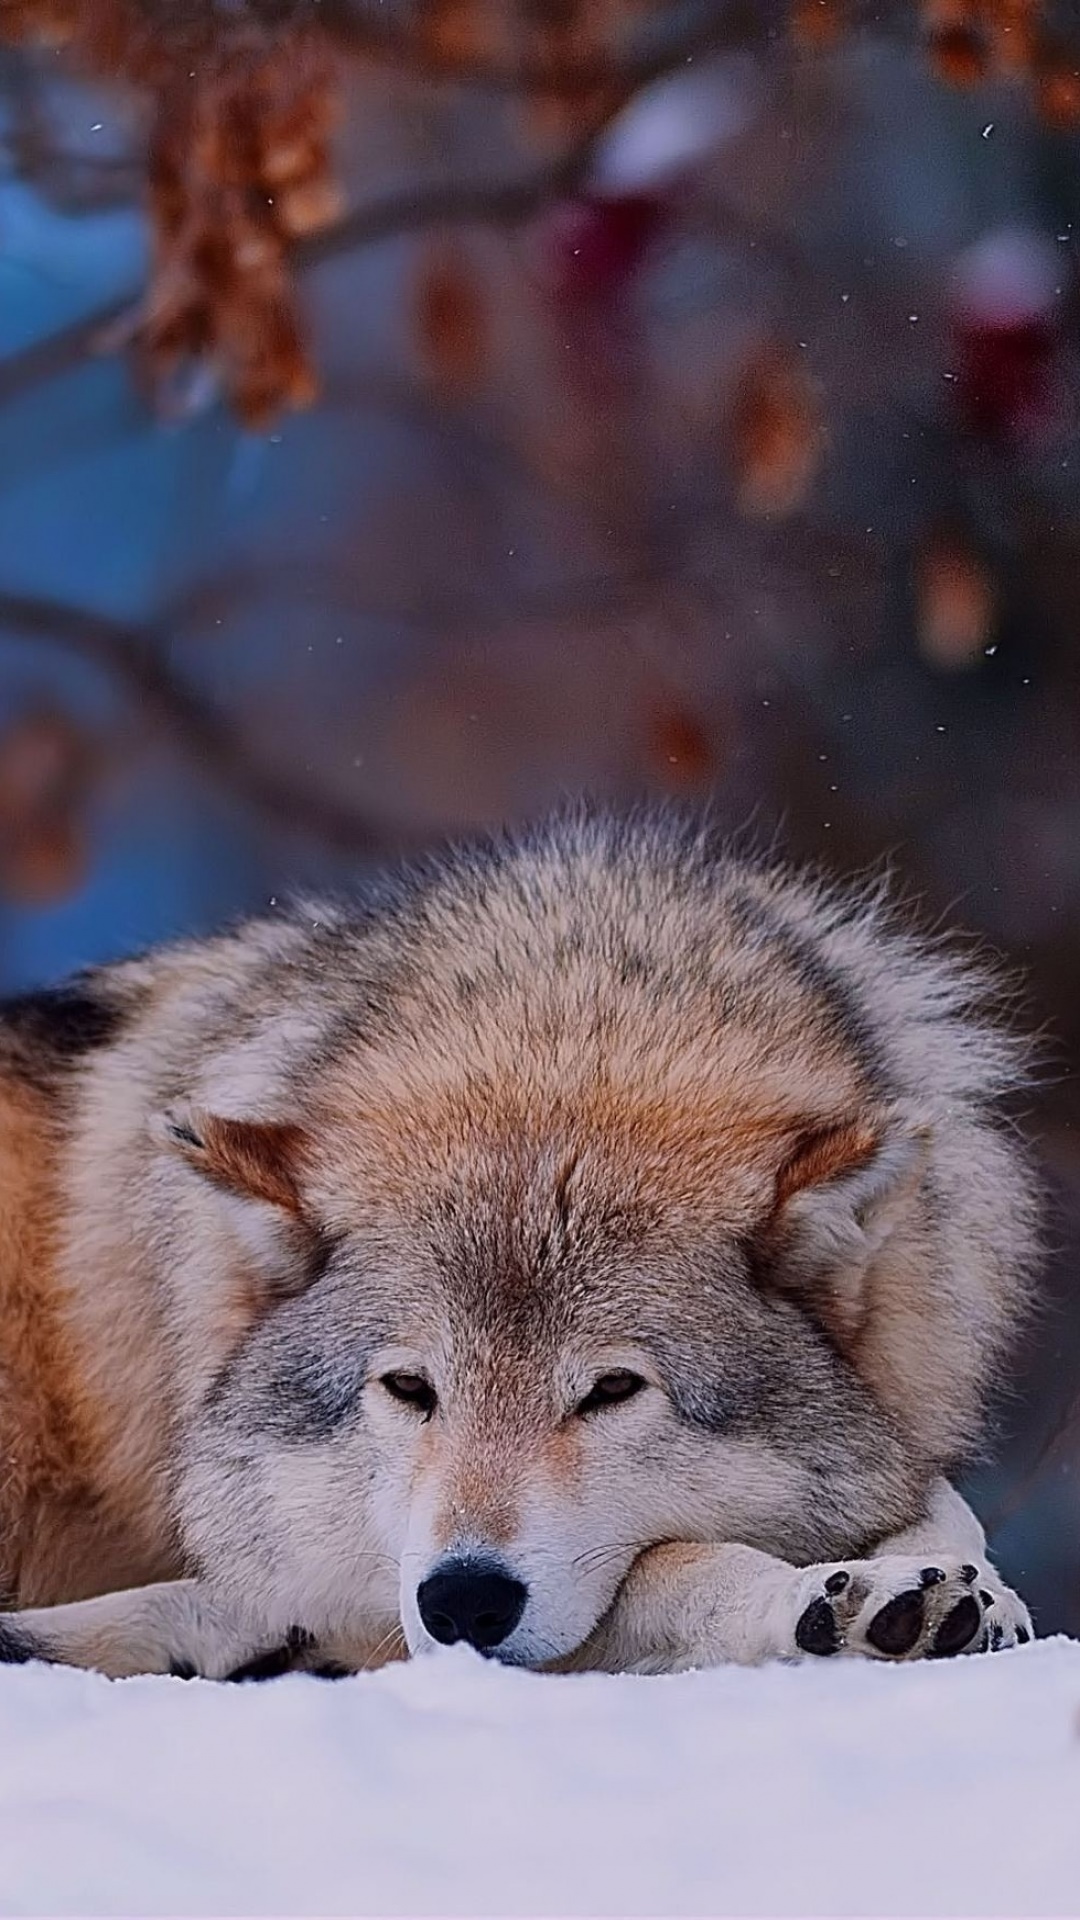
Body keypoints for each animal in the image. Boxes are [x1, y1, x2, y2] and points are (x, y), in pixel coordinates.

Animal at [0, 808, 1038, 1681]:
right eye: (409, 1388)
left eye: (612, 1390)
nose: (465, 1598)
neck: (556, 1031)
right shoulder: (398, 1606)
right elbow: (668, 1567)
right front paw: (826, 1599)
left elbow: (938, 1499)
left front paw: (949, 1581)